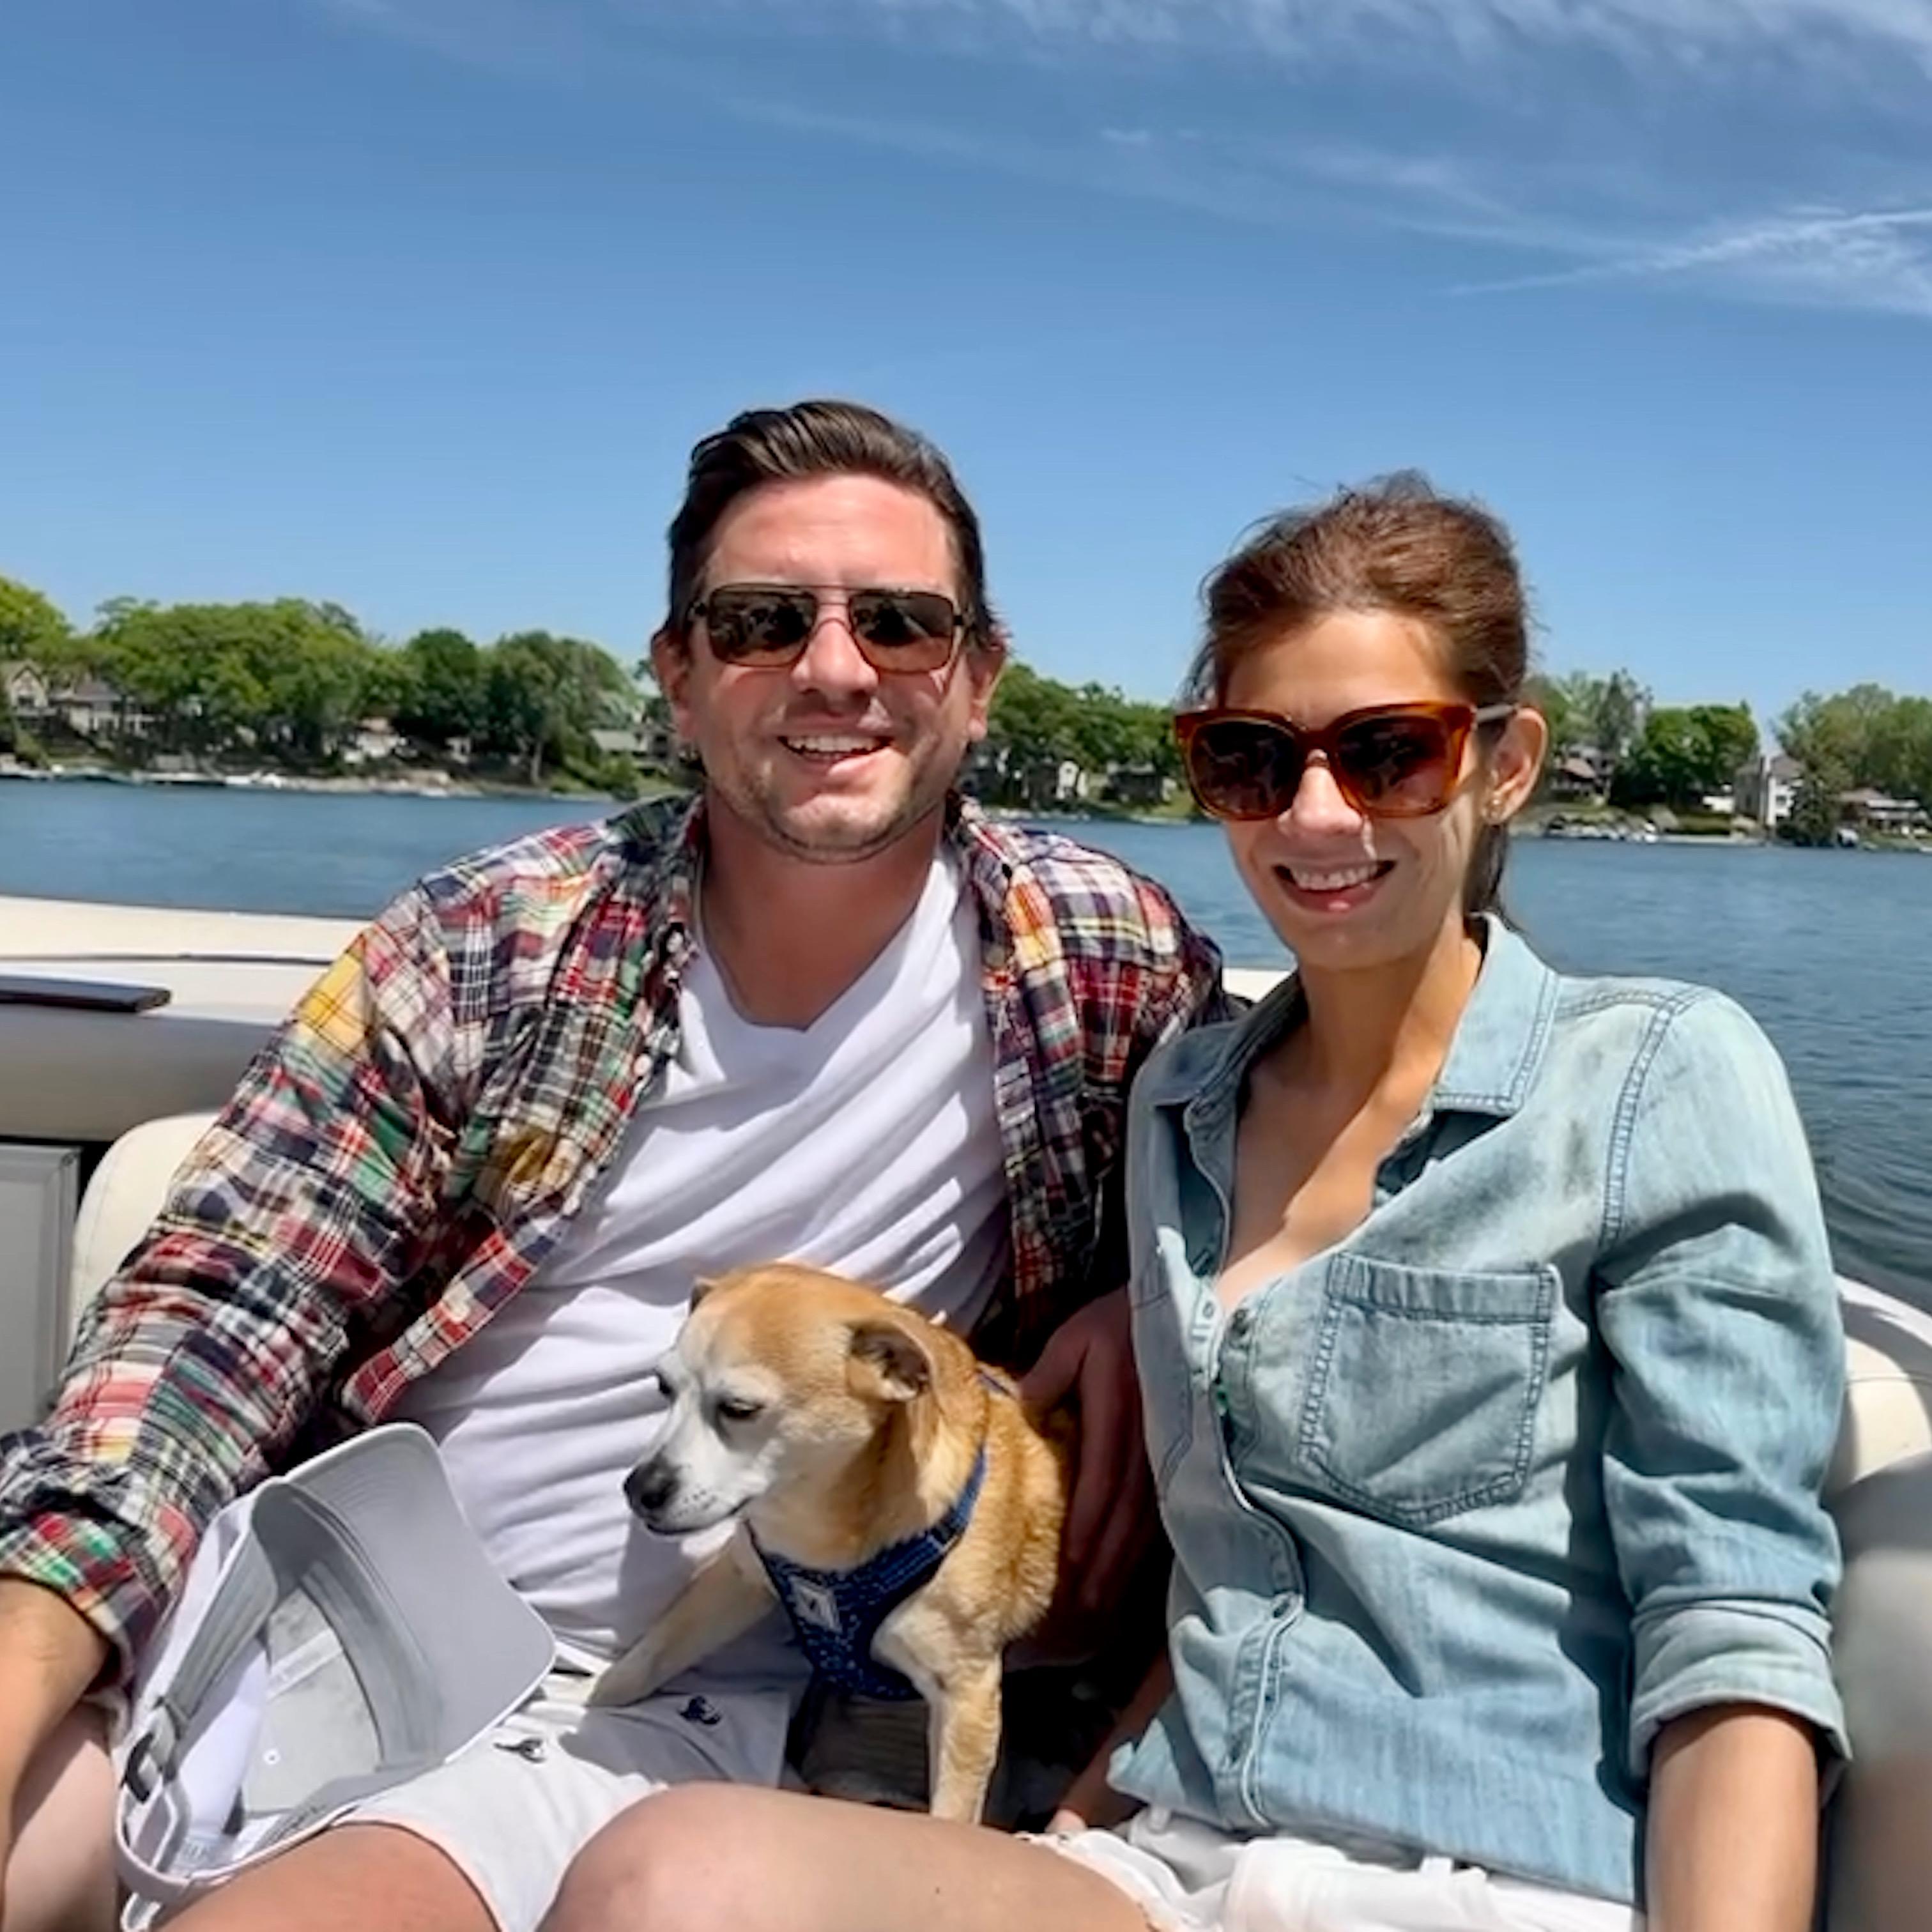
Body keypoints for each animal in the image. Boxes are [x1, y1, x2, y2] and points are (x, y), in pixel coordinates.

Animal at [589, 1262, 1069, 1823]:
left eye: (739, 1408)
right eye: (663, 1387)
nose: (639, 1489)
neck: (822, 1539)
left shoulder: (966, 1697)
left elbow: (950, 1818)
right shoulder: (740, 1578)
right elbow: (650, 1657)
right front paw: (589, 1700)